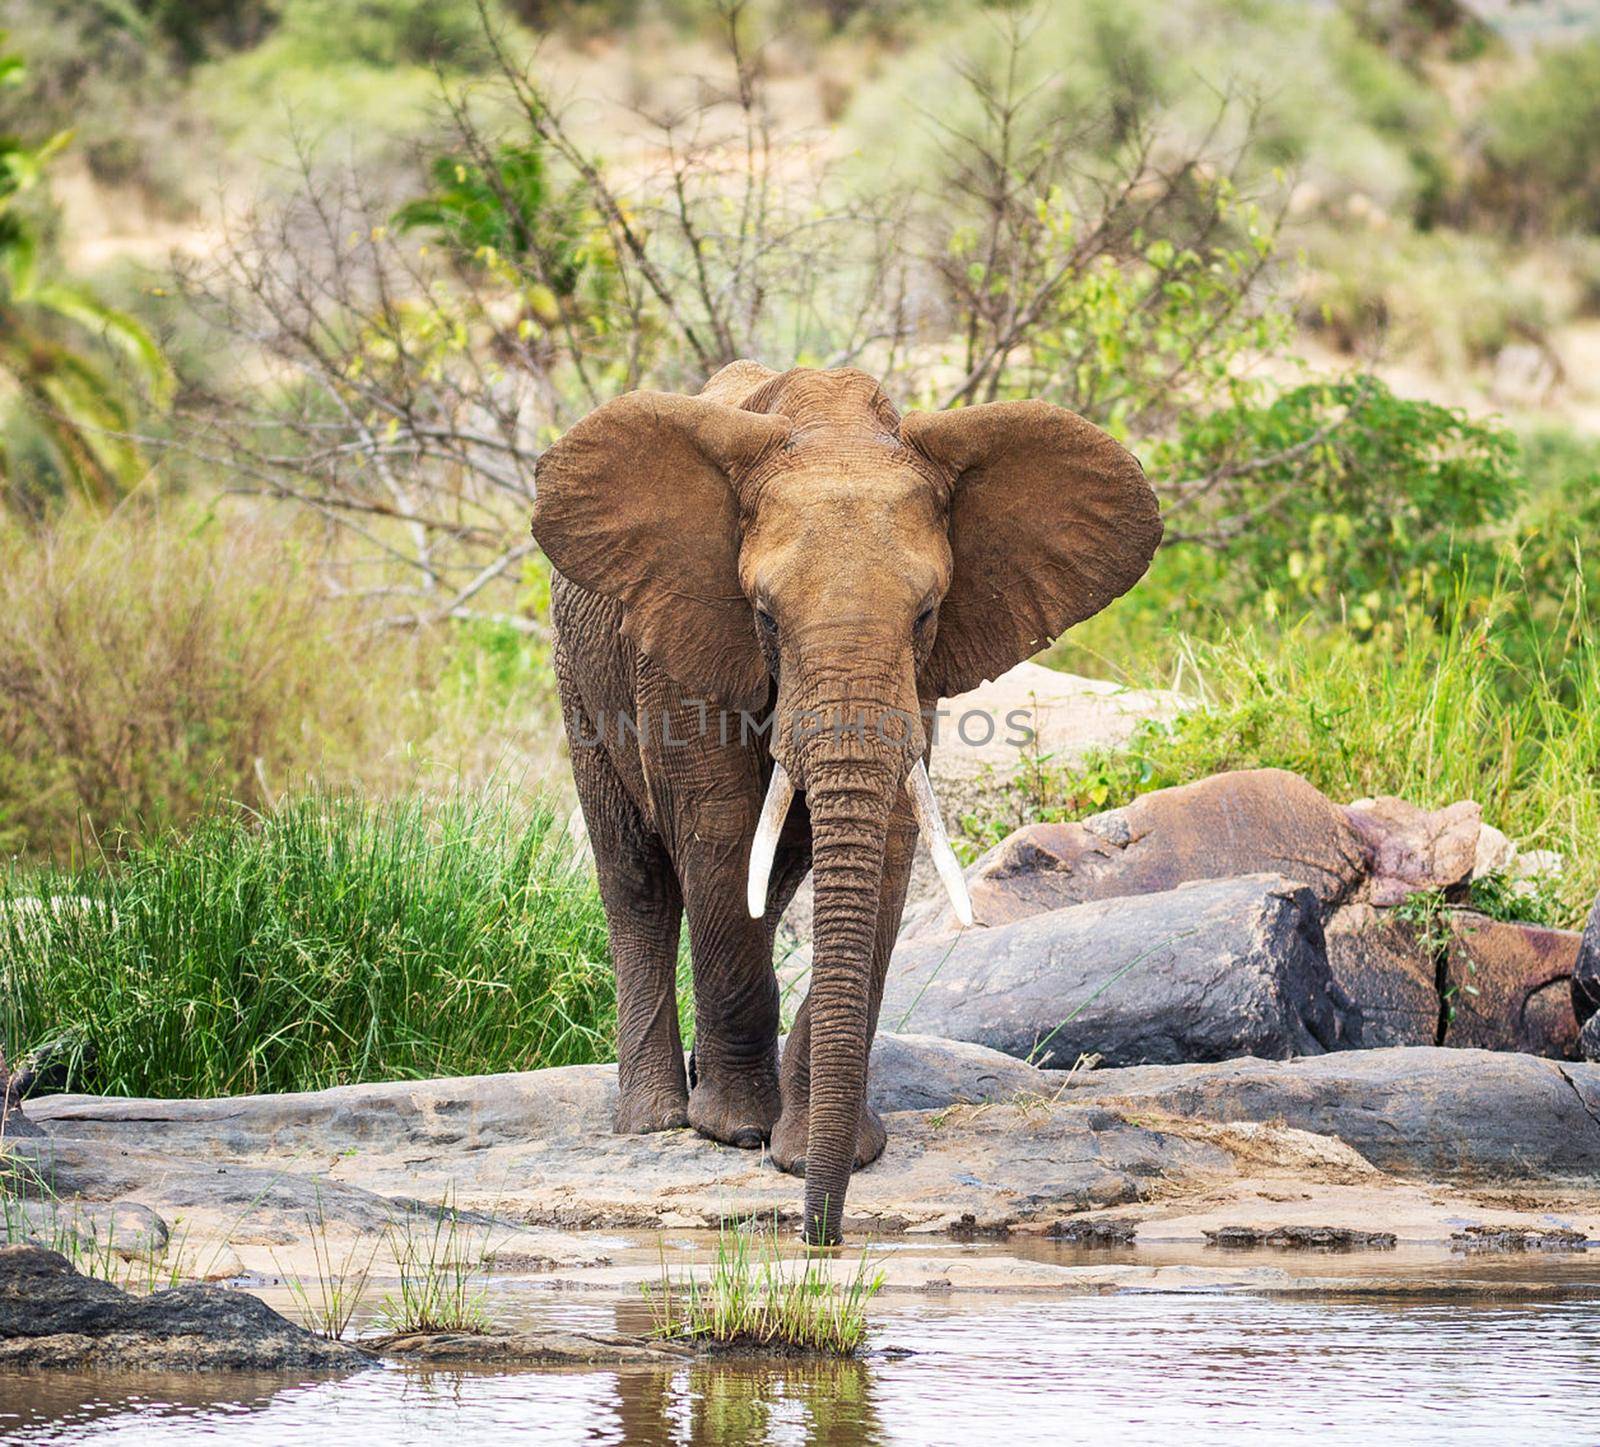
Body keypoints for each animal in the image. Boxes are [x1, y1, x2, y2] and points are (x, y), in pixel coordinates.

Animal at [531, 361, 1158, 1242]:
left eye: (926, 613)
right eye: (764, 616)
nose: (819, 1237)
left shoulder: (916, 683)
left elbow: (889, 841)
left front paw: (830, 1151)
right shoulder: (681, 647)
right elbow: (720, 835)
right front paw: (737, 1131)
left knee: (774, 876)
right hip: (578, 678)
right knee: (638, 878)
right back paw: (656, 1118)